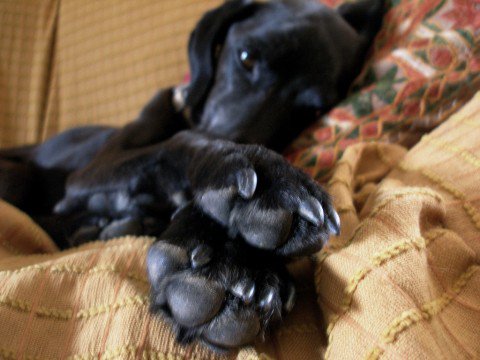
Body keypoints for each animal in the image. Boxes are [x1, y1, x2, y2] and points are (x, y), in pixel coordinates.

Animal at [0, 0, 382, 350]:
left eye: (313, 111)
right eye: (246, 58)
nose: (236, 137)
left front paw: (241, 265)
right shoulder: (90, 173)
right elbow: (182, 142)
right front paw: (267, 182)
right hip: (19, 174)